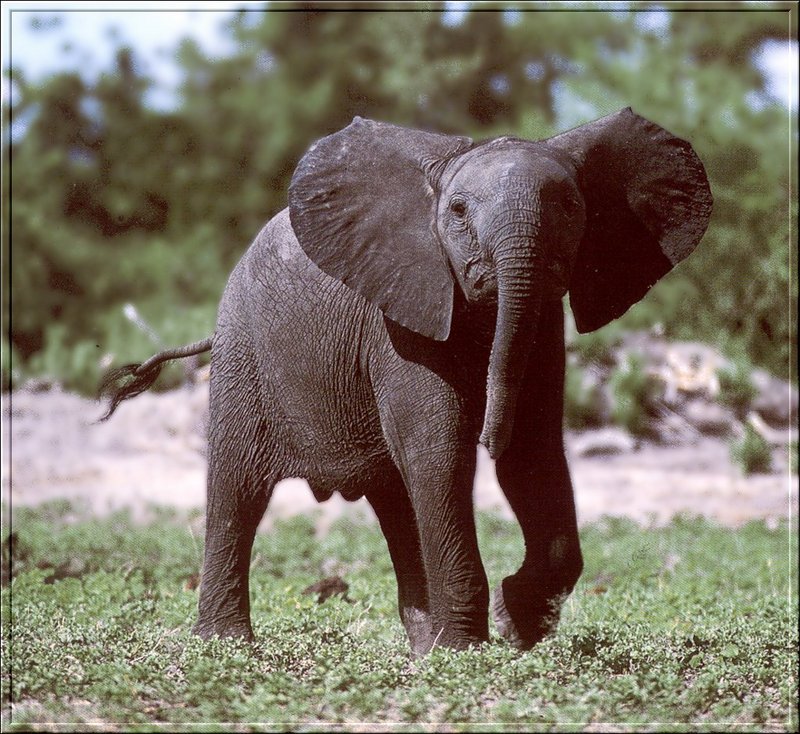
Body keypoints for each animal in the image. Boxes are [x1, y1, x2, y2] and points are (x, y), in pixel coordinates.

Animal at [101, 108, 712, 656]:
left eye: (569, 207)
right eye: (458, 211)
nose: (490, 431)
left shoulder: (544, 321)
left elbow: (533, 453)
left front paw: (516, 625)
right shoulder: (399, 317)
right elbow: (439, 449)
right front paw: (471, 649)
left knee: (396, 500)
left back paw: (423, 649)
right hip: (243, 352)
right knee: (238, 486)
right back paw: (226, 645)